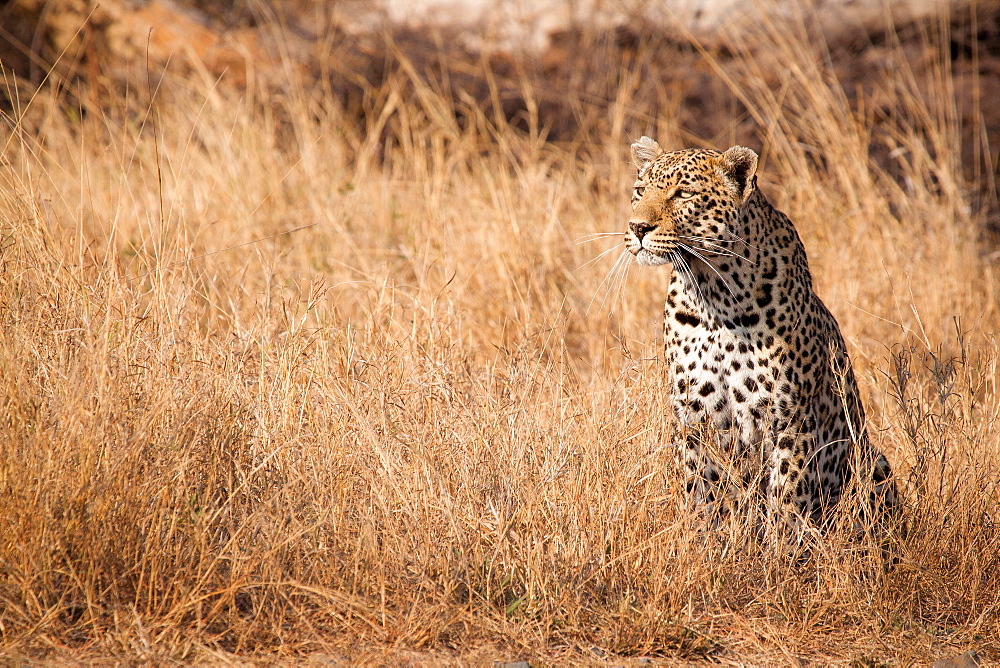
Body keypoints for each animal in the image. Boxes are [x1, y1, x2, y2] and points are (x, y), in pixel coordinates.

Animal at [624, 138, 900, 540]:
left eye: (682, 194)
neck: (714, 296)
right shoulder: (692, 417)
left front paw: (781, 551)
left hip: (872, 460)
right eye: (640, 190)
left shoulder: (790, 419)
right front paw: (701, 542)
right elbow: (700, 493)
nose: (637, 227)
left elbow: (787, 498)